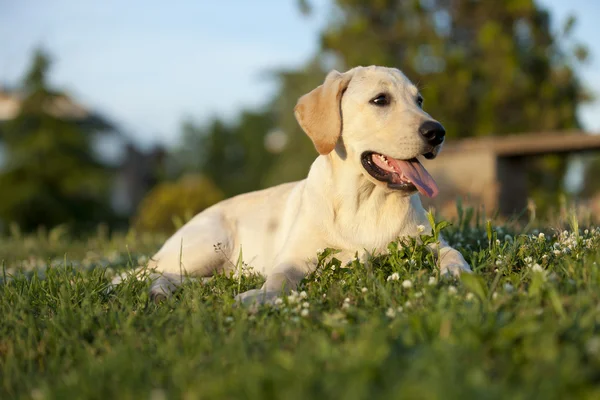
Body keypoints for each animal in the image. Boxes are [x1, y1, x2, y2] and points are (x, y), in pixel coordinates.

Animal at [134, 65, 472, 304]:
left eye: (419, 100)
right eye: (380, 100)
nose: (437, 132)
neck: (364, 200)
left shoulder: (431, 243)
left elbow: (453, 253)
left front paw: (458, 273)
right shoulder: (293, 258)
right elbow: (279, 279)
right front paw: (263, 297)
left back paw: (163, 291)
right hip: (204, 246)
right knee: (139, 274)